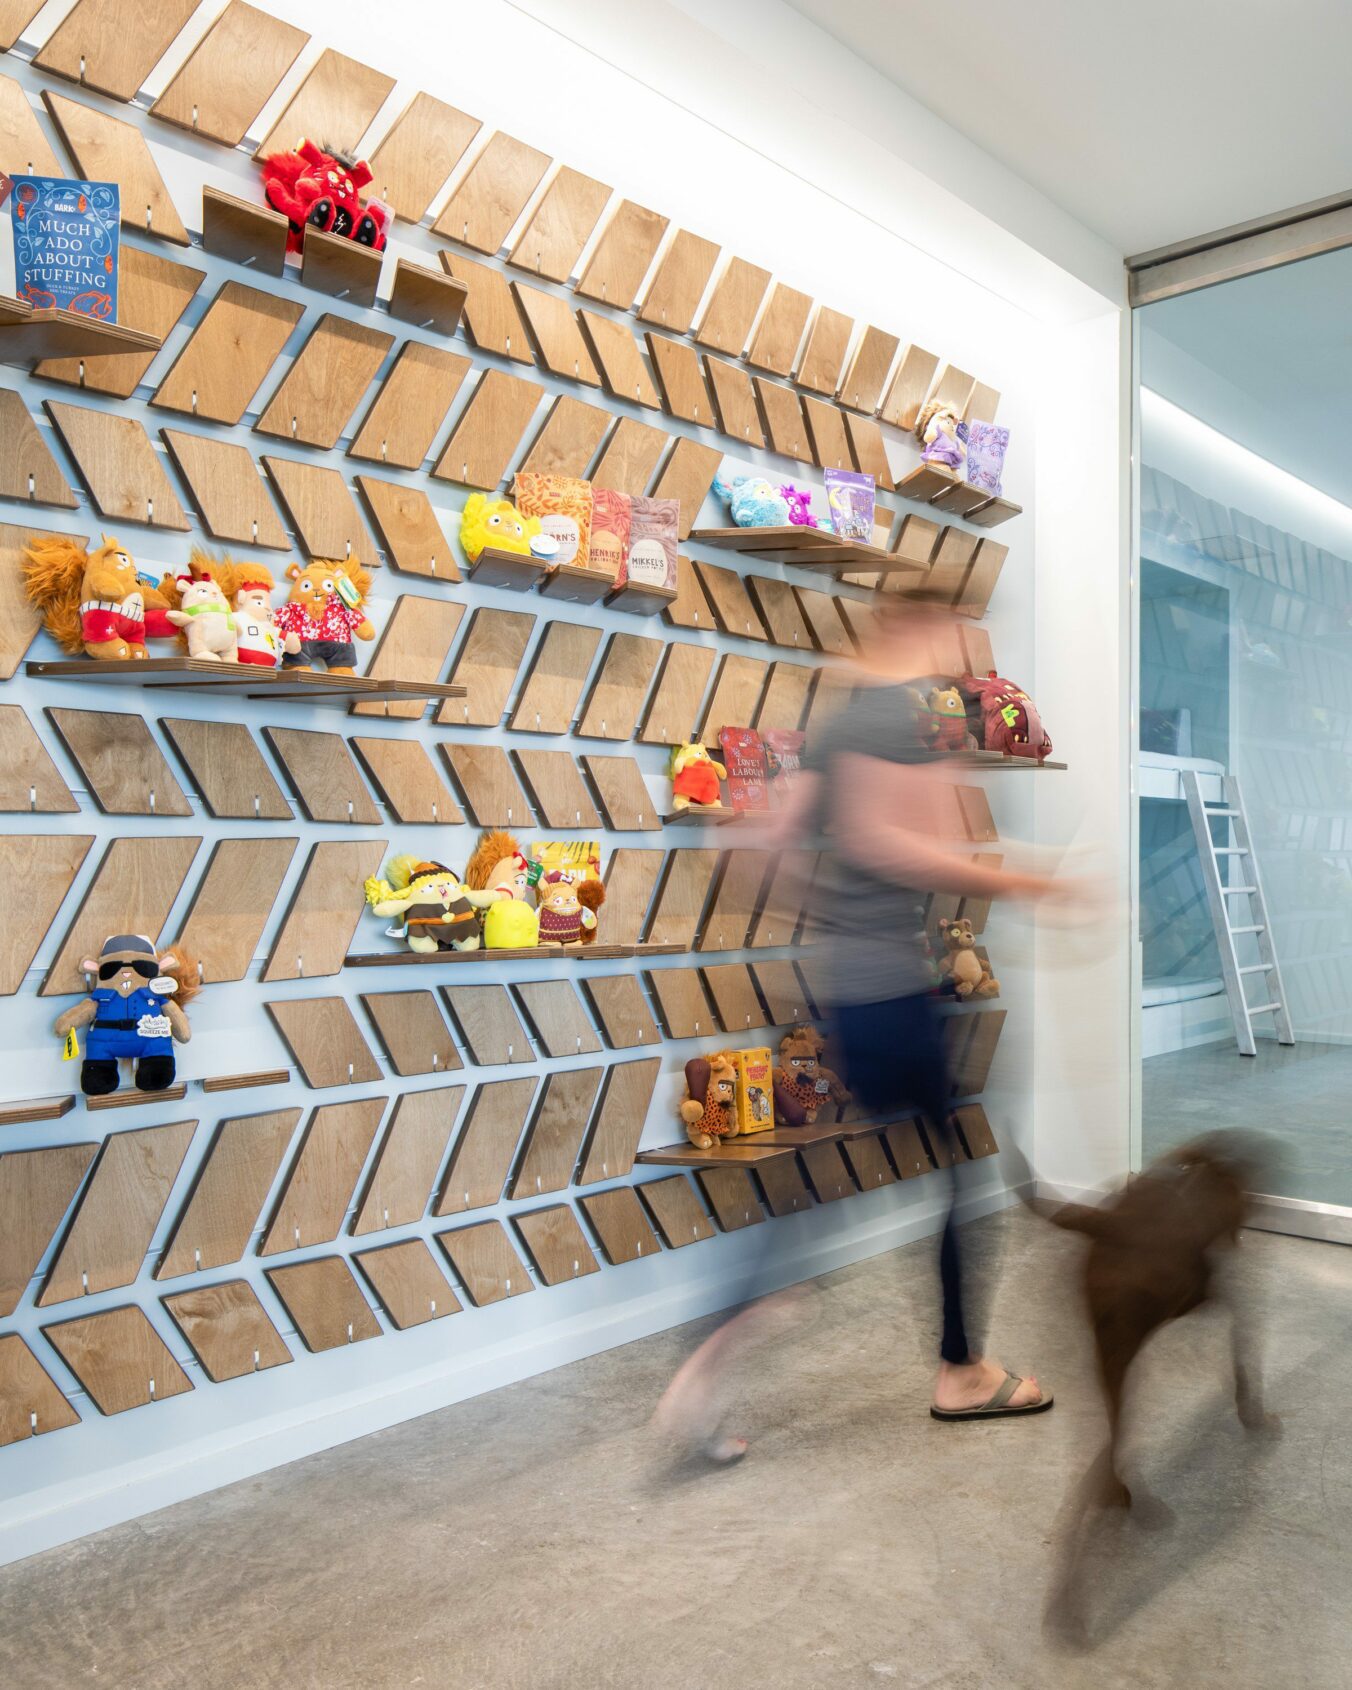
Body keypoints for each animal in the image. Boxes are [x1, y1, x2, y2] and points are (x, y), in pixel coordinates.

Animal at [1020, 1135, 1270, 1507]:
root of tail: (1112, 1226)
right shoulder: (1213, 1296)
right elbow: (1241, 1346)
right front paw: (1251, 1410)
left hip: (1108, 1343)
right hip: (1124, 1341)